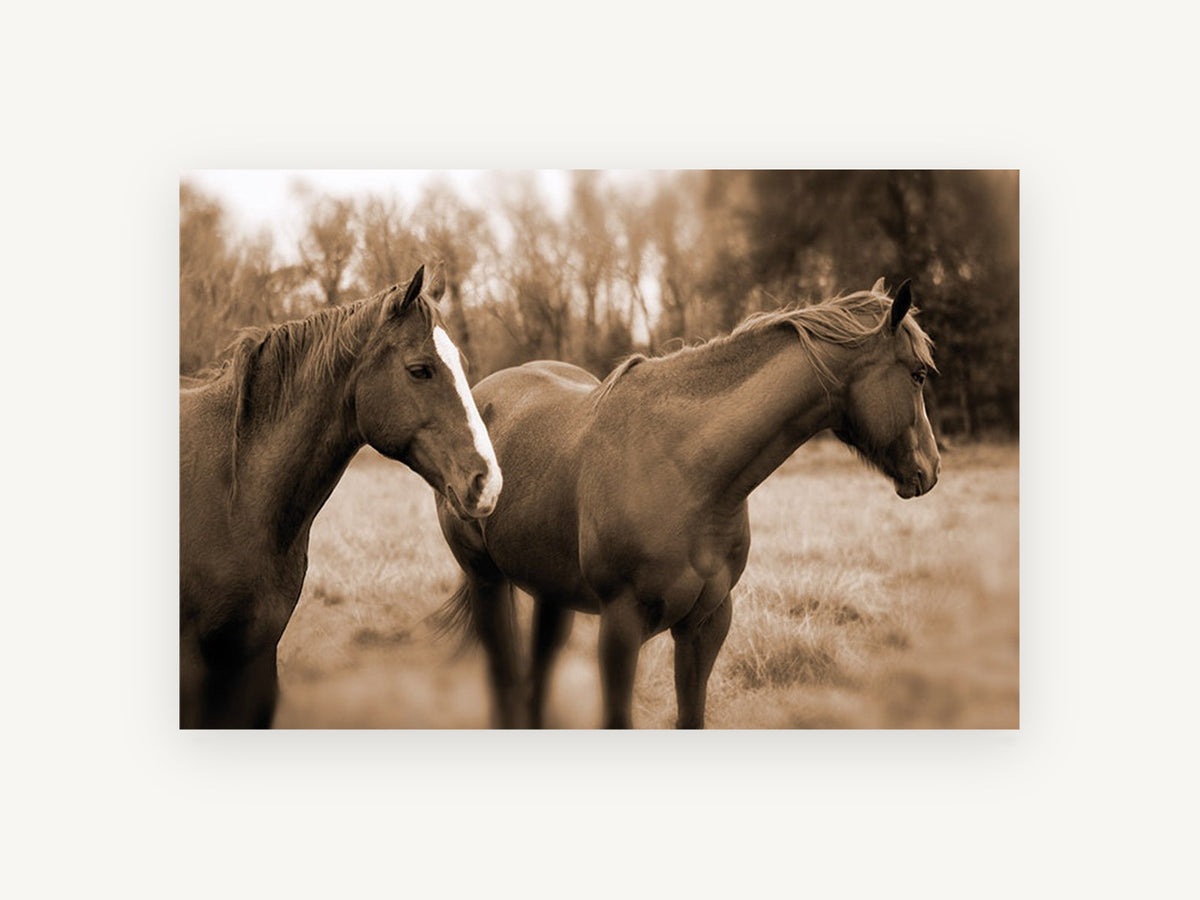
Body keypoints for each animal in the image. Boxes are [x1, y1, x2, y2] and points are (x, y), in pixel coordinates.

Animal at [436, 278, 939, 728]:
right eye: (917, 374)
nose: (930, 470)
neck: (687, 472)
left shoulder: (707, 623)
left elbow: (691, 717)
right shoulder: (621, 627)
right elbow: (616, 720)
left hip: (551, 592)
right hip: (486, 579)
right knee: (504, 677)